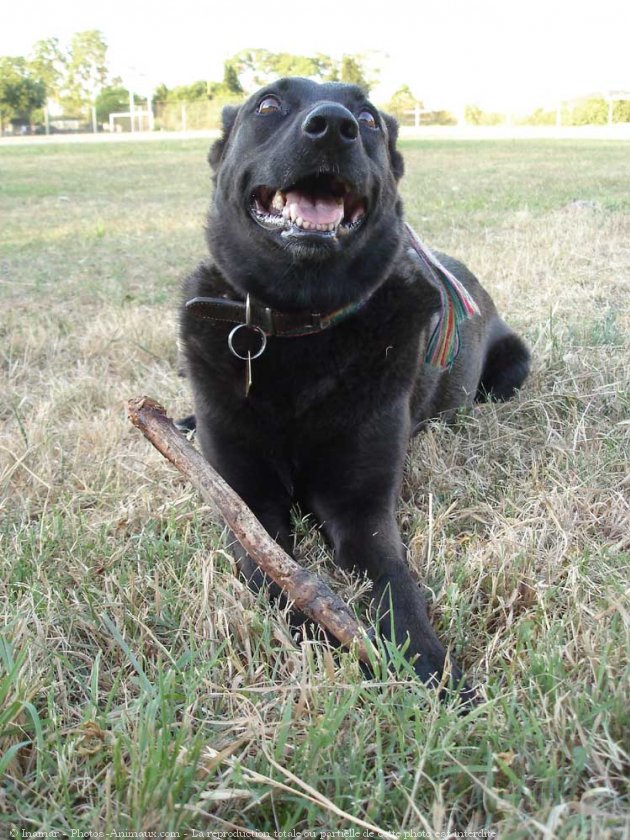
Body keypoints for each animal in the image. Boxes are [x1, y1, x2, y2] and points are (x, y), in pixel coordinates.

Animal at [179, 79, 532, 696]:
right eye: (268, 105)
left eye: (367, 119)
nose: (334, 126)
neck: (301, 326)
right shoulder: (247, 503)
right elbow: (279, 578)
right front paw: (323, 636)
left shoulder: (362, 508)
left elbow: (393, 582)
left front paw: (431, 672)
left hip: (513, 369)